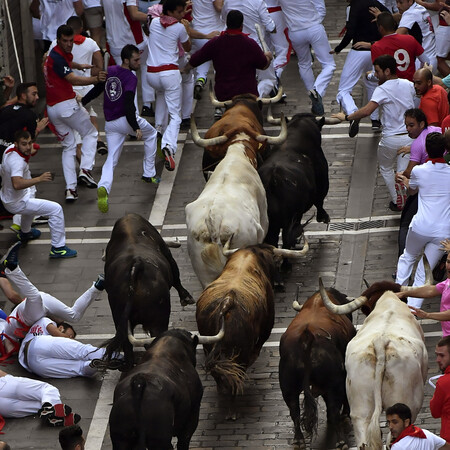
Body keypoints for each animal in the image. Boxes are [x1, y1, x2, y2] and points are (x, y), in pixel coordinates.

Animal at [103, 214, 194, 366]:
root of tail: (137, 264)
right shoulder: (168, 255)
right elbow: (177, 277)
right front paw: (186, 298)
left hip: (119, 317)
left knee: (128, 347)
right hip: (159, 320)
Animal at [258, 112, 328, 251]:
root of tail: (273, 178)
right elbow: (320, 200)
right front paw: (323, 217)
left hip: (271, 226)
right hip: (288, 221)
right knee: (285, 240)